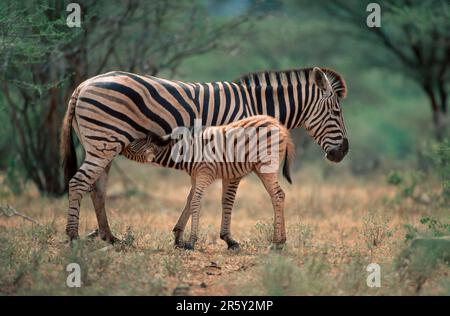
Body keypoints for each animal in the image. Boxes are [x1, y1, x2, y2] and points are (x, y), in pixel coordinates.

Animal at [122, 115, 296, 251]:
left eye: (132, 144)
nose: (119, 143)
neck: (185, 150)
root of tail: (280, 126)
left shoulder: (204, 173)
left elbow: (195, 203)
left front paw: (191, 242)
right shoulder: (195, 176)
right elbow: (189, 201)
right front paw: (178, 238)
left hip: (265, 166)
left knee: (278, 195)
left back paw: (276, 243)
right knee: (279, 195)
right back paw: (282, 241)